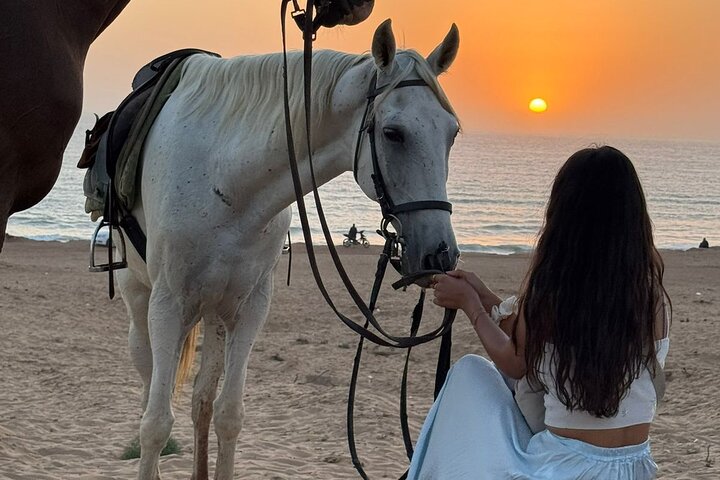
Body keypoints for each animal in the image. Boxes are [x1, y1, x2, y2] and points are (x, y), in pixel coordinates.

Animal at [114, 18, 460, 479]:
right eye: (393, 133)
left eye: (452, 133)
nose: (440, 255)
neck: (224, 179)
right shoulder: (168, 304)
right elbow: (154, 423)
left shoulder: (250, 306)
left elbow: (228, 414)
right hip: (142, 305)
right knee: (150, 386)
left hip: (214, 311)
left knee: (201, 400)